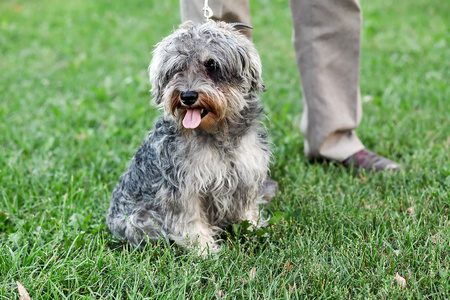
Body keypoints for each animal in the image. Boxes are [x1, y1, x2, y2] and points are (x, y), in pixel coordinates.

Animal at [106, 19, 270, 254]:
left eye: (212, 65)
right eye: (177, 68)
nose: (188, 96)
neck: (220, 134)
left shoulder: (246, 174)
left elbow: (246, 211)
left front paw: (254, 229)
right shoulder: (184, 189)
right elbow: (191, 222)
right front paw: (204, 250)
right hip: (141, 223)